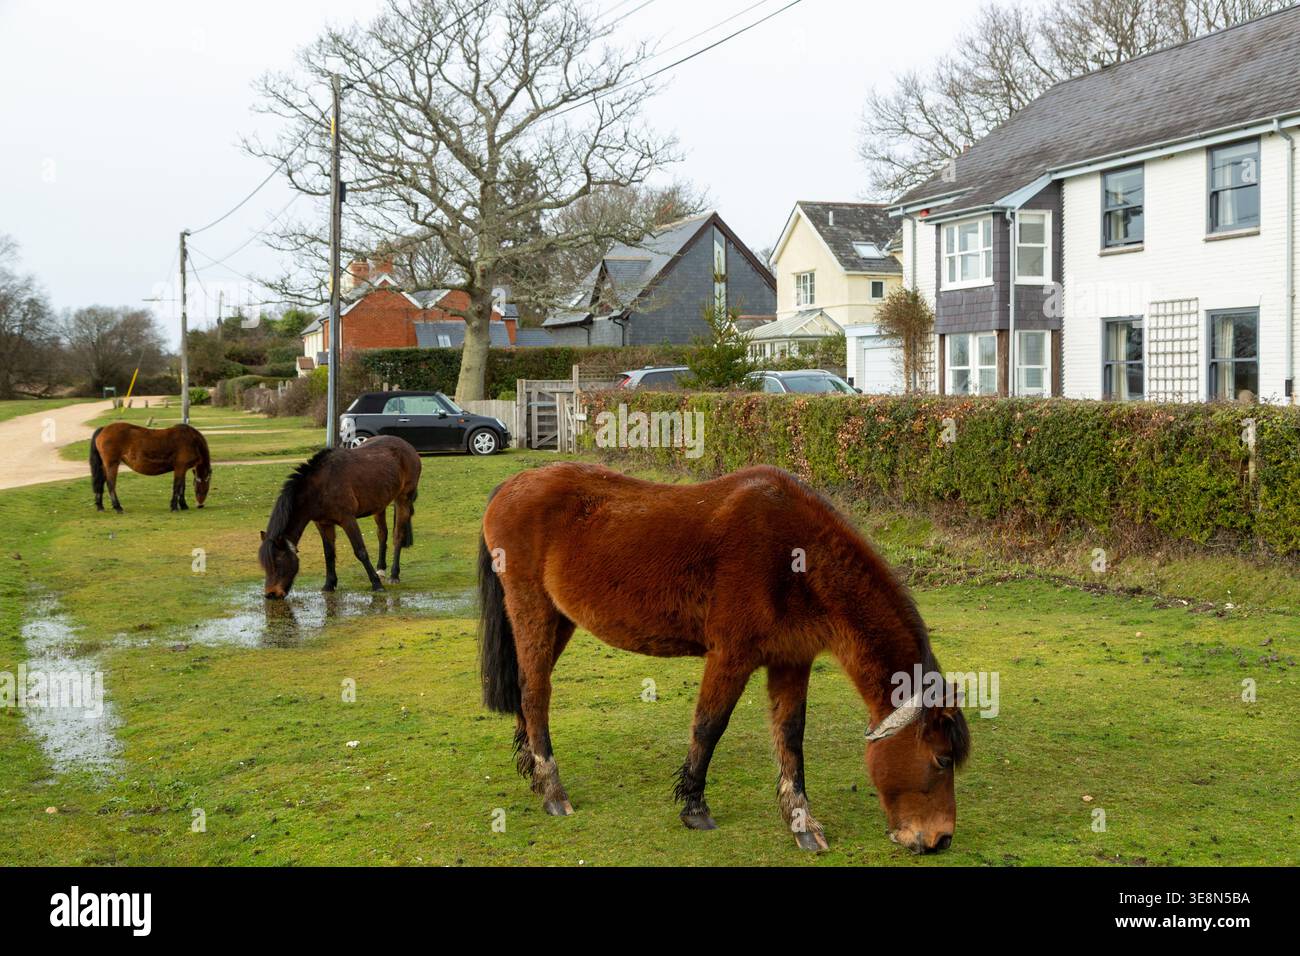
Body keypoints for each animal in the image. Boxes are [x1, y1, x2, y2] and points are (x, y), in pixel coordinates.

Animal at [259, 436, 421, 599]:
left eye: (278, 563)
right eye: (265, 566)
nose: (271, 594)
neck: (320, 487)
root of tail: (407, 445)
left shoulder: (348, 519)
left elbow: (360, 551)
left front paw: (376, 585)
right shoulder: (323, 524)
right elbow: (329, 553)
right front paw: (329, 584)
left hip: (403, 499)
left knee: (398, 536)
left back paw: (394, 575)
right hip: (379, 505)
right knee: (382, 534)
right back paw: (381, 569)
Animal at [478, 461, 970, 853]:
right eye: (943, 760)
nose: (941, 839)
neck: (795, 557)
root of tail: (511, 484)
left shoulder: (791, 659)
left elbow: (791, 736)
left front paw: (801, 821)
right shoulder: (731, 656)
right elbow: (709, 726)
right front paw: (694, 807)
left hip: (559, 619)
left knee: (528, 692)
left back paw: (533, 772)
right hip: (533, 609)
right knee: (536, 692)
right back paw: (552, 790)